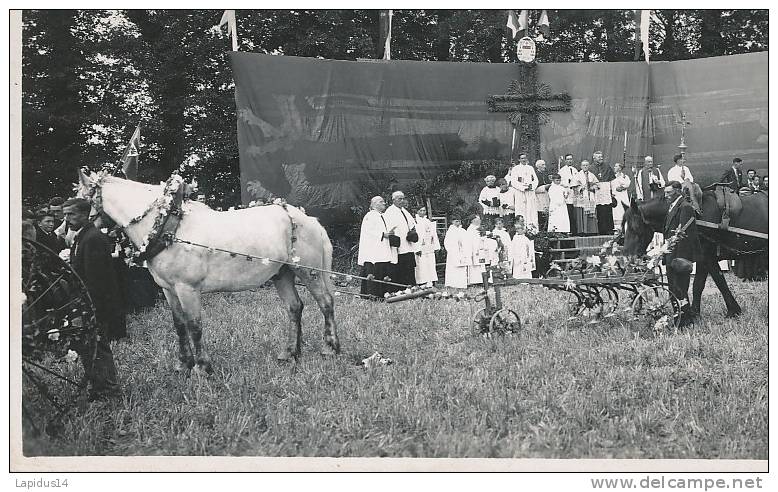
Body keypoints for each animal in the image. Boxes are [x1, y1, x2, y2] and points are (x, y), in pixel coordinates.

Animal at [78, 170, 340, 372]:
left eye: (81, 201)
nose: (71, 233)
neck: (167, 227)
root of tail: (308, 219)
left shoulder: (187, 289)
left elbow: (194, 325)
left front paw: (203, 368)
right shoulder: (169, 290)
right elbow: (179, 325)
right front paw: (182, 364)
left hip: (308, 271)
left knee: (325, 302)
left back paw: (330, 348)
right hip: (282, 274)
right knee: (294, 307)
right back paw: (290, 353)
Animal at [620, 188, 768, 320]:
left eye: (635, 227)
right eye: (623, 227)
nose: (627, 258)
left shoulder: (707, 257)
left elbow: (712, 283)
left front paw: (732, 311)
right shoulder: (704, 258)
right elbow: (702, 285)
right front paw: (696, 313)